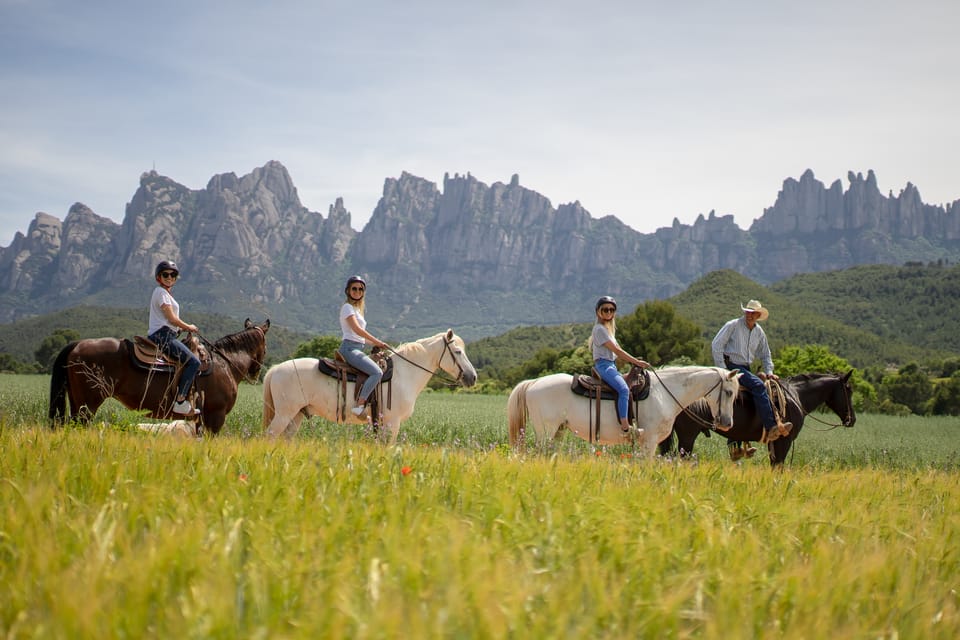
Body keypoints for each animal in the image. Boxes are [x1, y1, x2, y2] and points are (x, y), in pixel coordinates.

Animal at [49, 318, 270, 436]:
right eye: (265, 348)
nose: (256, 373)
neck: (224, 363)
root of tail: (76, 344)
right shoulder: (216, 416)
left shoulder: (201, 419)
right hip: (87, 405)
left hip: (77, 402)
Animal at [262, 332, 476, 442]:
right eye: (458, 351)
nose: (472, 377)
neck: (404, 374)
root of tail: (275, 369)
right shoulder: (392, 423)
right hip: (284, 414)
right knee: (270, 437)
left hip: (296, 415)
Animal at [510, 364, 744, 456]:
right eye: (729, 392)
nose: (727, 423)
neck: (664, 392)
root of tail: (534, 383)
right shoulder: (649, 441)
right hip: (545, 432)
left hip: (557, 432)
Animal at [660, 370, 856, 464]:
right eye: (849, 389)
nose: (852, 419)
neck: (796, 396)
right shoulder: (784, 441)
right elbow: (778, 466)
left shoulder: (774, 443)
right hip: (687, 436)